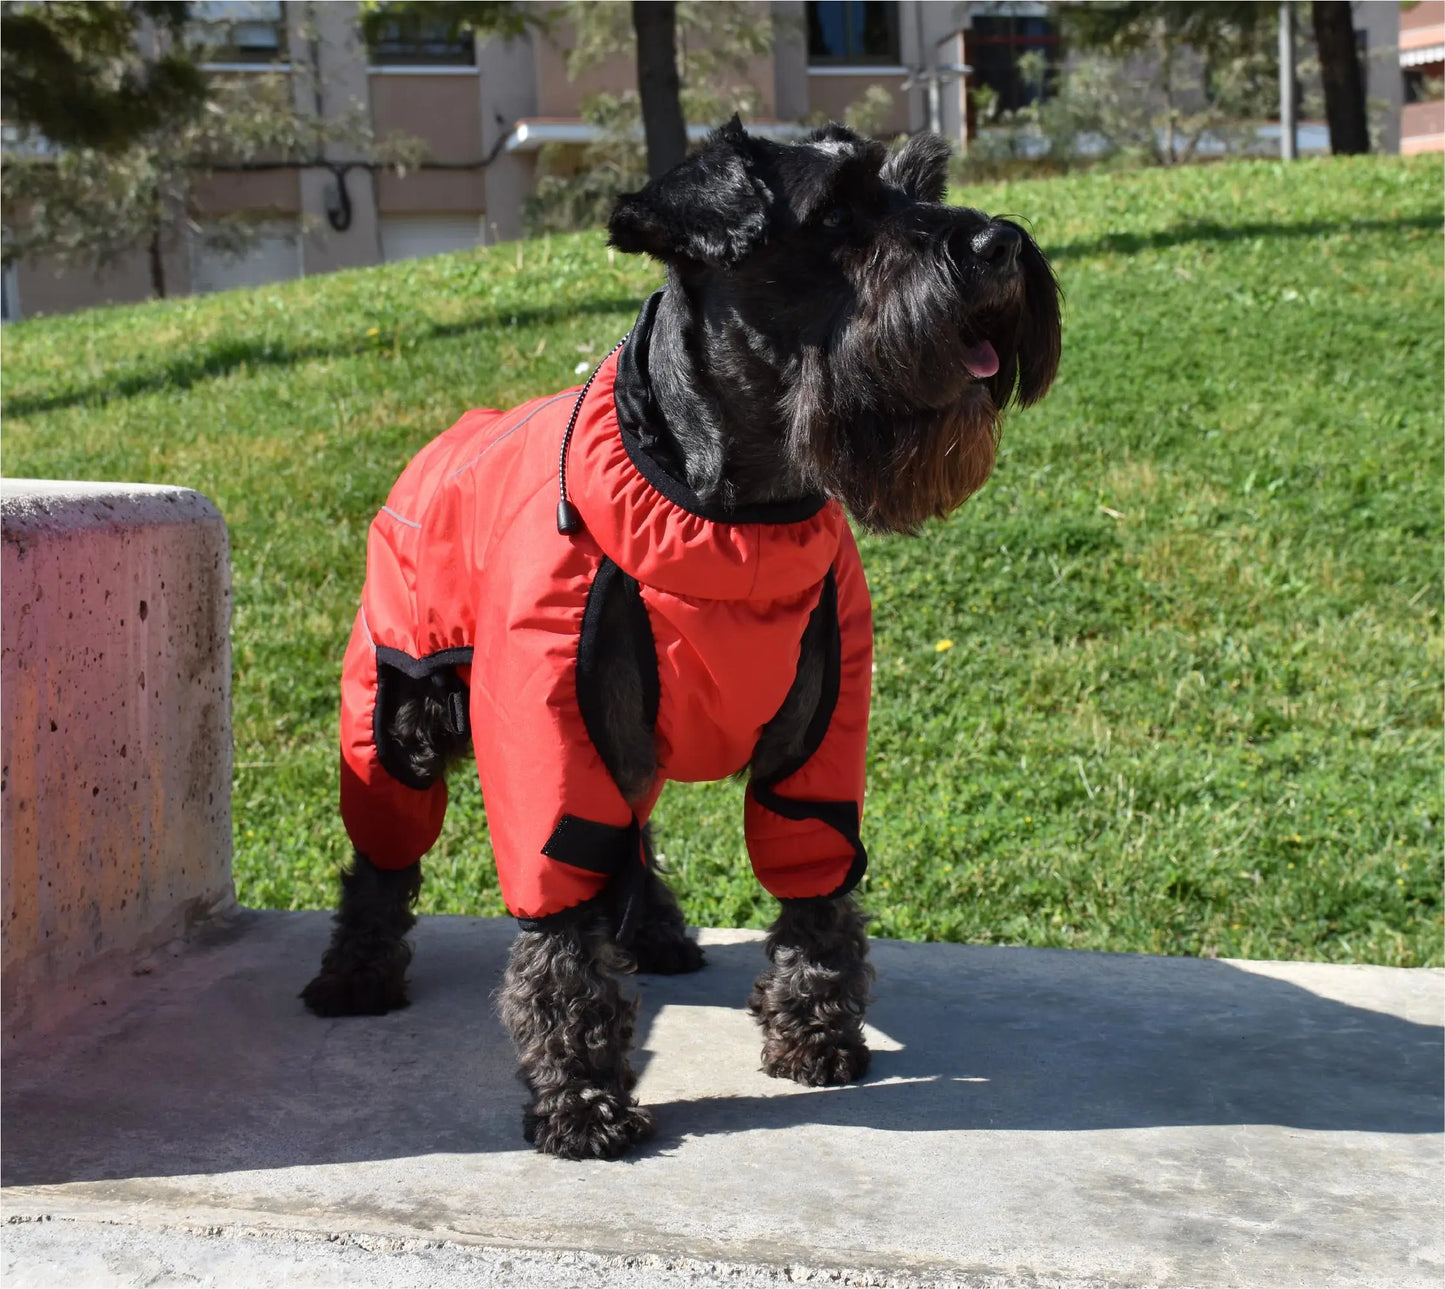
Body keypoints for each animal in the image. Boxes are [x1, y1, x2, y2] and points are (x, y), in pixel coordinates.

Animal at [302, 118, 1063, 1156]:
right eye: (834, 214)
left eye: (921, 185)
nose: (998, 244)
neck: (733, 520)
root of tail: (447, 435)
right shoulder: (549, 746)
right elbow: (559, 927)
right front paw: (580, 1093)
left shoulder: (815, 747)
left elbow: (816, 889)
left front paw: (814, 1030)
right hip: (399, 716)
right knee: (385, 855)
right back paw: (356, 973)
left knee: (629, 835)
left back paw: (656, 933)